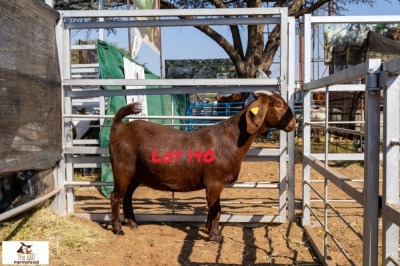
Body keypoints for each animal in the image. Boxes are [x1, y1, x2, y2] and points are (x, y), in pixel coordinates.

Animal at [108, 90, 296, 242]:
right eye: (278, 105)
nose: (294, 123)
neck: (231, 139)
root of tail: (119, 126)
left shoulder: (216, 184)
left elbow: (215, 209)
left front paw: (211, 231)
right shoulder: (214, 182)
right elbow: (215, 210)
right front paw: (215, 237)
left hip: (136, 174)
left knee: (127, 196)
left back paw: (132, 223)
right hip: (122, 167)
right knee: (116, 196)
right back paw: (118, 229)